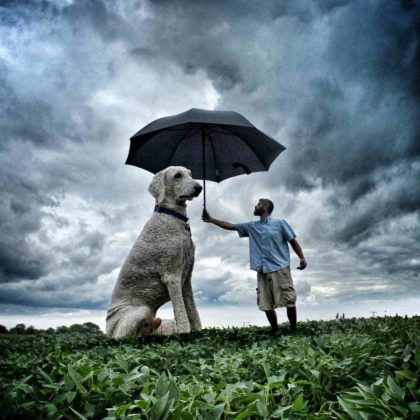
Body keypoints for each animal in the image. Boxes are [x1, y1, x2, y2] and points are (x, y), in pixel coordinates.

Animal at [106, 165, 203, 338]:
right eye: (177, 175)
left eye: (190, 174)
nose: (199, 187)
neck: (172, 217)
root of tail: (107, 328)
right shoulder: (171, 276)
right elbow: (181, 311)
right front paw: (184, 333)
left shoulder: (186, 279)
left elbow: (192, 309)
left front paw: (199, 331)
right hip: (140, 310)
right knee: (120, 337)